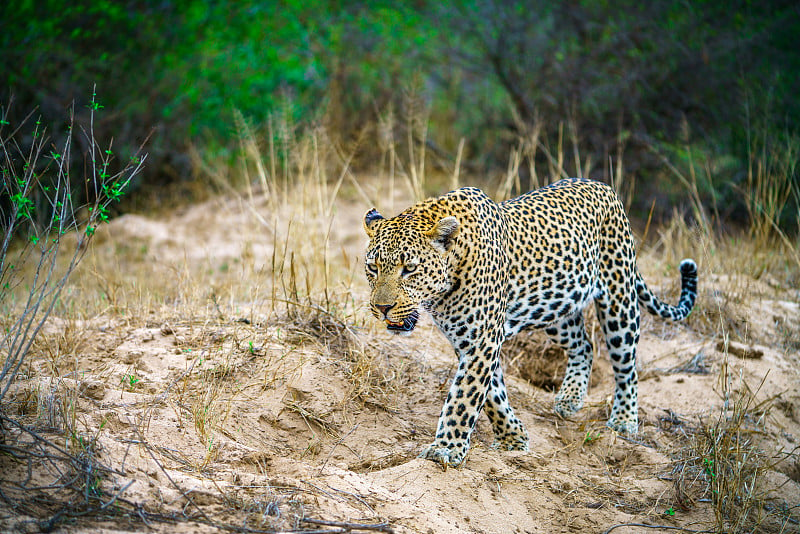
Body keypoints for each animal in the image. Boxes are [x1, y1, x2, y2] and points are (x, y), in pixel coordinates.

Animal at [360, 178, 696, 466]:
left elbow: (464, 397)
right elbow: (492, 394)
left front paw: (446, 449)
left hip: (619, 299)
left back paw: (624, 420)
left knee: (626, 364)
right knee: (584, 345)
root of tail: (604, 187)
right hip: (555, 305)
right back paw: (570, 398)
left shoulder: (481, 340)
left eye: (409, 269)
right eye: (372, 268)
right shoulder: (468, 340)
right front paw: (513, 438)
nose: (382, 307)